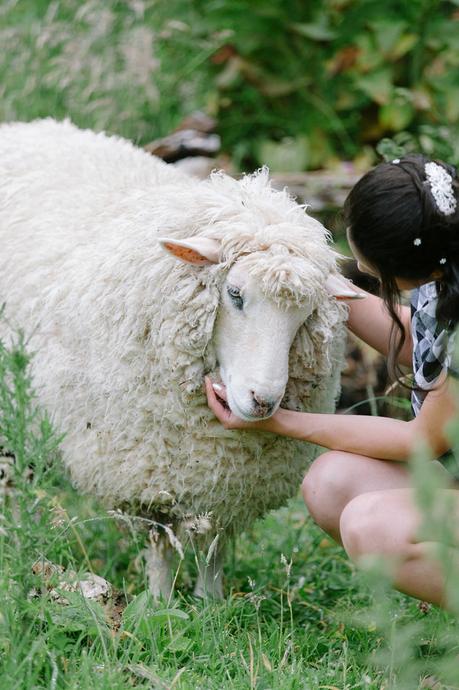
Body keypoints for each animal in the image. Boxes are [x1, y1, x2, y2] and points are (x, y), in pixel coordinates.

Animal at [0, 118, 360, 596]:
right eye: (234, 293)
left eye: (305, 314)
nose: (263, 401)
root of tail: (25, 126)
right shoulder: (147, 469)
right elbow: (160, 543)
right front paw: (158, 600)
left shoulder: (226, 481)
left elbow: (213, 542)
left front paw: (211, 601)